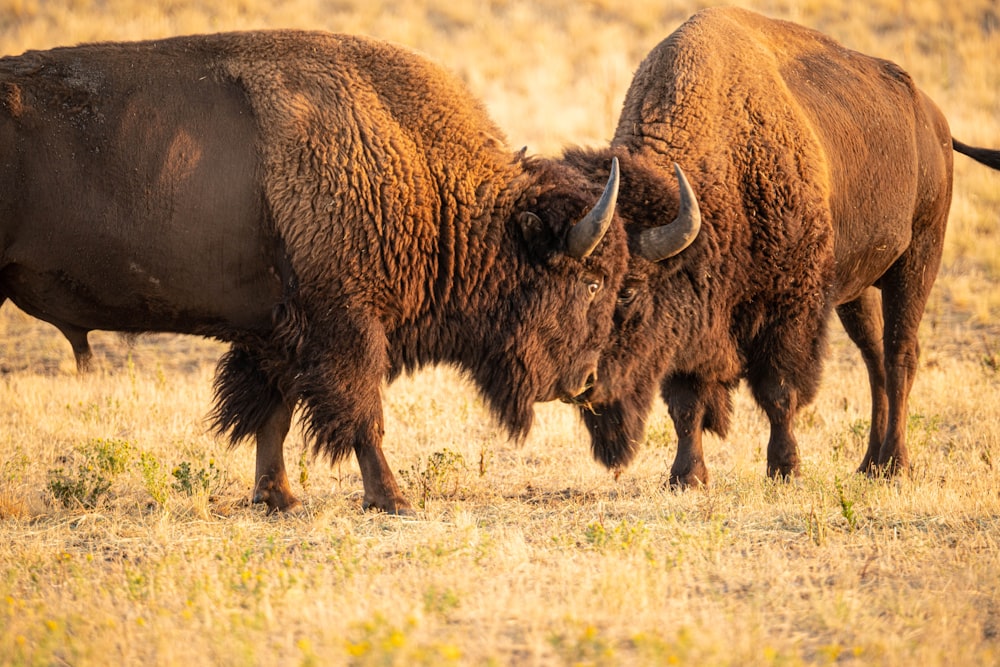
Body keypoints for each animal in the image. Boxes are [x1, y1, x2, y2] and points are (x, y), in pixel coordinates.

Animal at [0, 28, 624, 516]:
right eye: (592, 281)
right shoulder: (346, 325)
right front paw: (393, 499)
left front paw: (277, 497)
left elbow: (271, 415)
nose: (588, 381)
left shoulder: (275, 332)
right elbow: (363, 416)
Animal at [564, 3, 1000, 486]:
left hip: (919, 258)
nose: (579, 383)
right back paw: (869, 463)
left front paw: (784, 468)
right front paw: (686, 476)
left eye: (628, 291)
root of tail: (932, 117)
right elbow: (686, 403)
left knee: (900, 354)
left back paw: (895, 465)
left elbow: (778, 392)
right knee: (874, 359)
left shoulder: (791, 308)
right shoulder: (692, 331)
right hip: (857, 290)